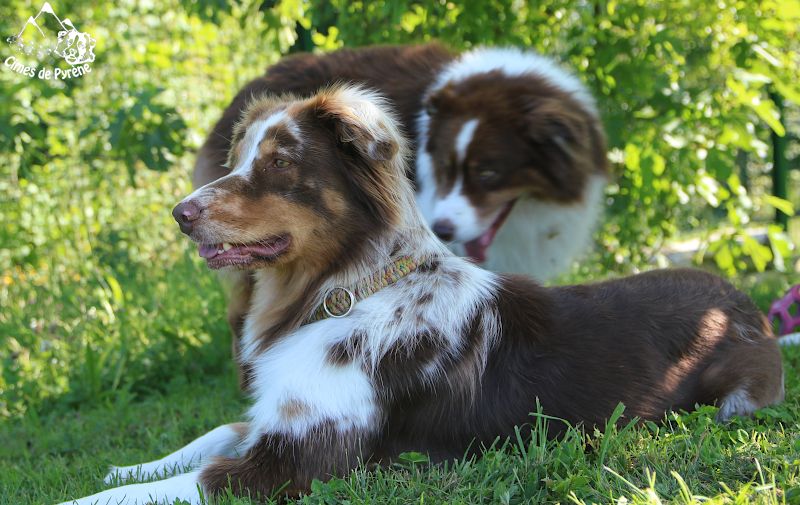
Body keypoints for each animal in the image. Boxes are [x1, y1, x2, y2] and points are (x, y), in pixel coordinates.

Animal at [59, 84, 784, 502]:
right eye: (238, 160)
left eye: (281, 164)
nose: (179, 213)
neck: (341, 291)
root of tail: (741, 299)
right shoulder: (276, 422)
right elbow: (209, 434)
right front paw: (125, 467)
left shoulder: (297, 462)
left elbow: (165, 487)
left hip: (735, 398)